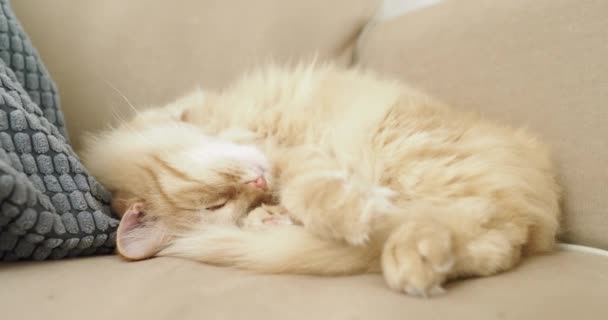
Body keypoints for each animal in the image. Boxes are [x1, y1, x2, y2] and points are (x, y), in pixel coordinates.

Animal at [83, 63, 564, 298]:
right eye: (221, 206)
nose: (257, 187)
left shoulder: (288, 153)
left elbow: (309, 187)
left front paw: (352, 214)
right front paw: (271, 218)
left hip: (402, 145)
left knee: (482, 221)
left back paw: (406, 250)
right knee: (486, 240)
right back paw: (414, 261)